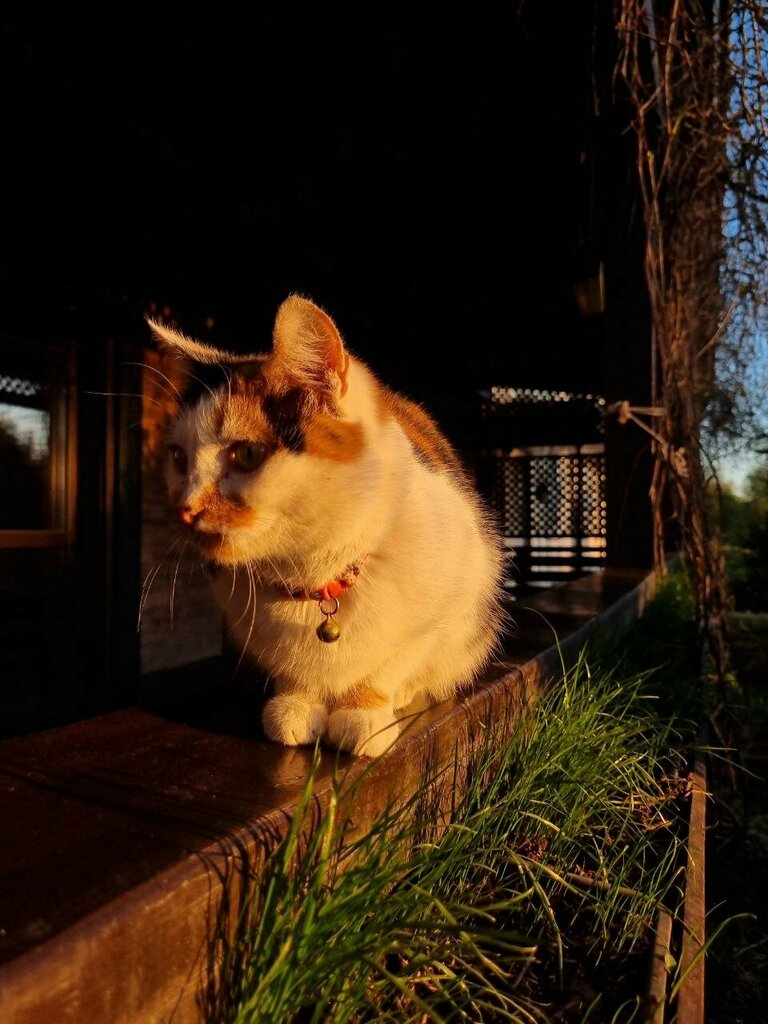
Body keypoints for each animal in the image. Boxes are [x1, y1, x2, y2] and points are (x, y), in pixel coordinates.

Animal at [148, 292, 512, 757]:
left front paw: (365, 713)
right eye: (178, 457)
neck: (312, 576)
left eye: (246, 454)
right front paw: (296, 705)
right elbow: (293, 673)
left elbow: (392, 663)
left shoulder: (451, 601)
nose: (185, 509)